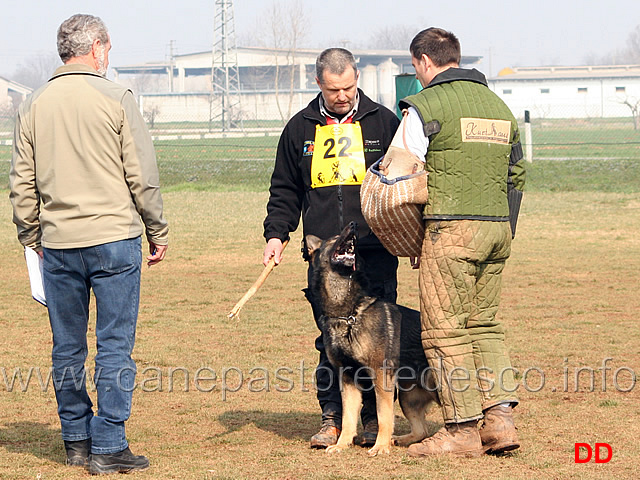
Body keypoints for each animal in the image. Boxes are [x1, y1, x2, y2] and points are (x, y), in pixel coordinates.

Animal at [306, 223, 440, 456]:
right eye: (334, 237)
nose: (352, 225)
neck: (348, 313)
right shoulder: (348, 378)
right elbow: (348, 418)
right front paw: (341, 444)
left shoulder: (380, 376)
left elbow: (383, 416)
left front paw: (380, 446)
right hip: (407, 398)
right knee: (421, 430)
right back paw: (400, 440)